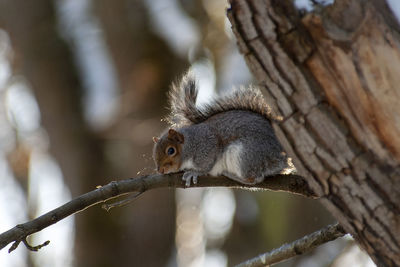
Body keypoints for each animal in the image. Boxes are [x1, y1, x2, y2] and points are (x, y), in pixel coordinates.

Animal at [153, 71, 294, 186]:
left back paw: (232, 175)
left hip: (246, 155)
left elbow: (206, 165)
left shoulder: (207, 146)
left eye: (171, 151)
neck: (191, 142)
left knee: (254, 179)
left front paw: (194, 172)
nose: (160, 170)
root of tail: (282, 155)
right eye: (154, 153)